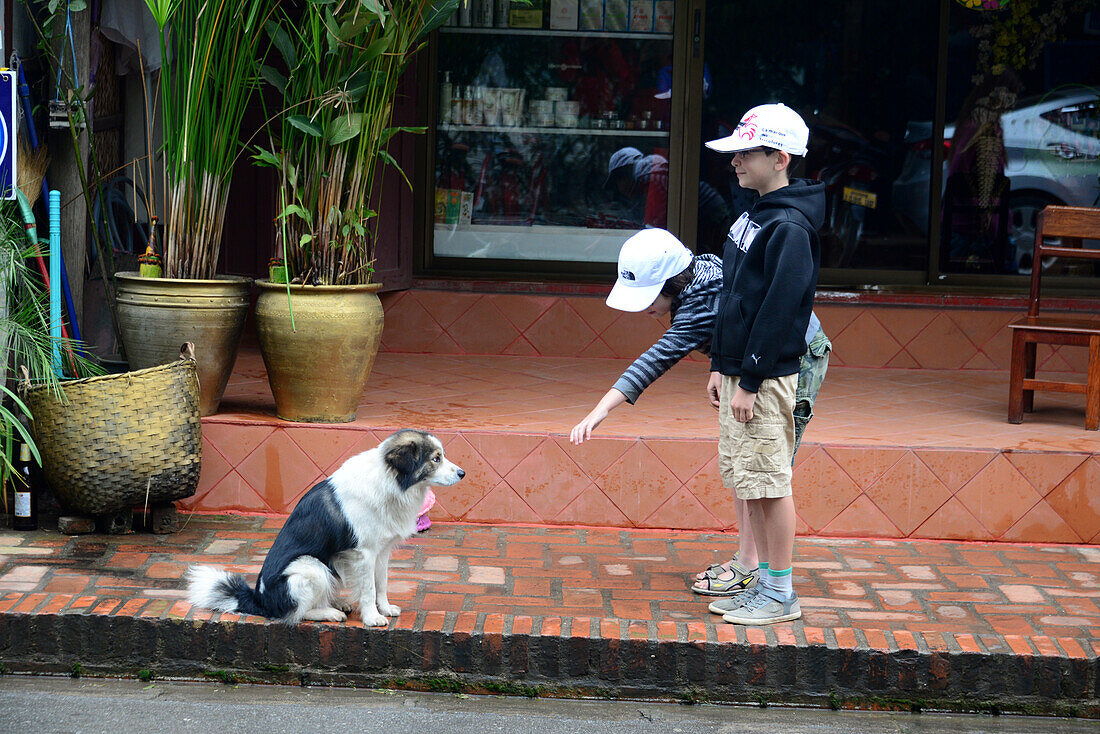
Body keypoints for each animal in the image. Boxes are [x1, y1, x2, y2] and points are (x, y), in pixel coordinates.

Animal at [187, 431, 462, 625]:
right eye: (436, 459)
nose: (462, 473)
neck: (390, 480)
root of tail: (259, 600)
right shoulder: (364, 553)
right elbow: (368, 588)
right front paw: (372, 617)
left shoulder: (381, 551)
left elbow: (381, 583)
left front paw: (383, 608)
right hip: (310, 566)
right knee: (296, 614)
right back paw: (329, 613)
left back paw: (338, 603)